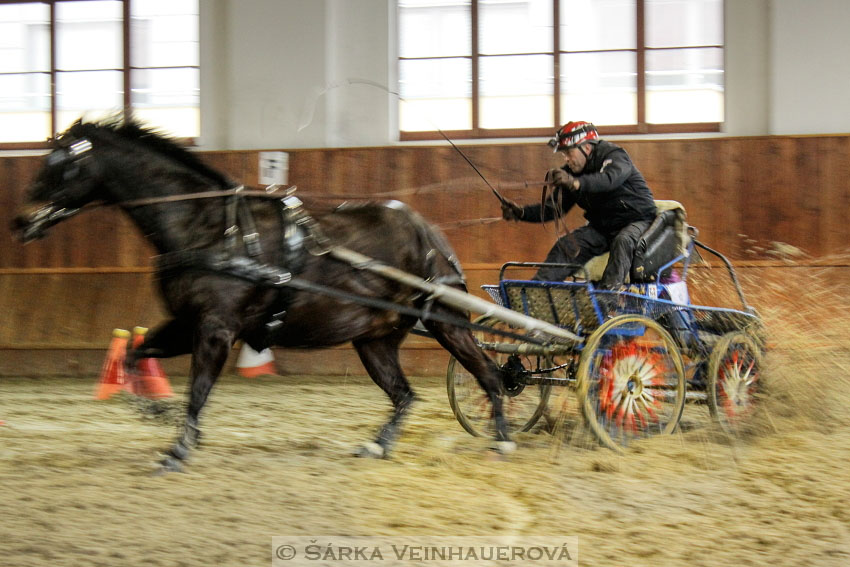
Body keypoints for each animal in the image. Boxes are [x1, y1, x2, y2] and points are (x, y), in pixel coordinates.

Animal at [13, 117, 510, 472]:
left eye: (60, 163)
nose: (19, 221)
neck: (207, 226)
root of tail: (429, 233)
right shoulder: (187, 323)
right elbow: (135, 357)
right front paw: (160, 413)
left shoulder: (216, 328)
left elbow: (198, 388)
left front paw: (178, 448)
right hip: (375, 339)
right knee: (404, 395)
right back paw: (378, 444)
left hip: (447, 321)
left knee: (488, 375)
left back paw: (503, 439)